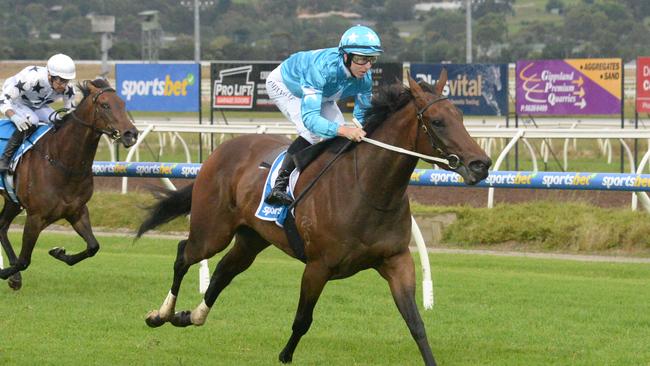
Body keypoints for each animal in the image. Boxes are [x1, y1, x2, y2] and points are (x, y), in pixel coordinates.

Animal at [0, 79, 138, 288]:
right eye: (105, 105)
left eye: (122, 104)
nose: (131, 134)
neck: (63, 163)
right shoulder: (35, 217)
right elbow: (24, 260)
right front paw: (6, 273)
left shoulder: (77, 211)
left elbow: (93, 246)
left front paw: (58, 252)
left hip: (13, 200)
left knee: (1, 227)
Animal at [137, 72, 488, 366]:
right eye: (437, 121)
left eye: (460, 117)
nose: (481, 164)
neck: (368, 189)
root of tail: (221, 151)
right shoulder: (318, 267)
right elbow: (302, 320)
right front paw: (284, 356)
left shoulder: (396, 260)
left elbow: (416, 323)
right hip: (213, 230)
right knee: (184, 254)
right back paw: (160, 314)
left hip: (252, 237)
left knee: (225, 270)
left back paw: (191, 316)